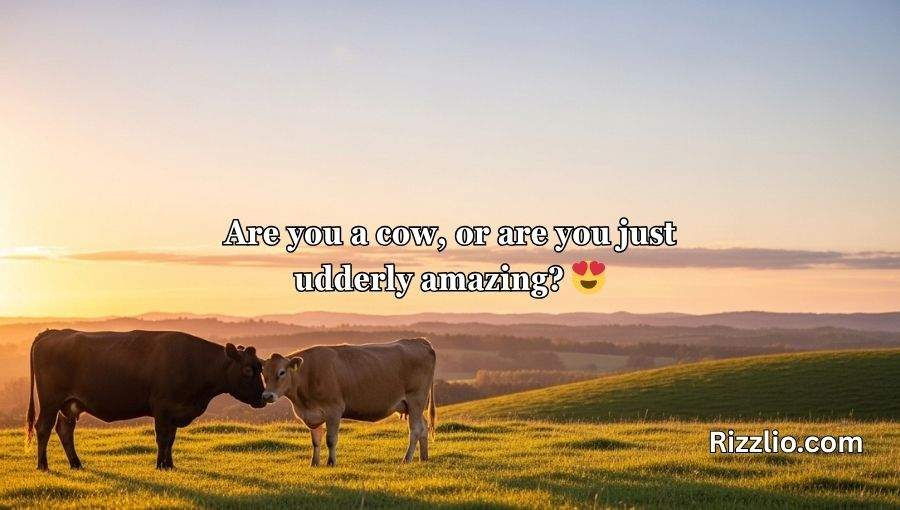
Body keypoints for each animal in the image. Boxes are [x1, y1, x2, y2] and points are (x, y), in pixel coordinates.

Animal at [26, 329, 266, 470]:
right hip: (50, 402)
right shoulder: (162, 407)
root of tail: (53, 333)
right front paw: (160, 465)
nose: (264, 399)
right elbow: (162, 438)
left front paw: (170, 465)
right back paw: (43, 465)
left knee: (64, 430)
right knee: (43, 428)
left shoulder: (175, 411)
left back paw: (76, 464)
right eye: (247, 370)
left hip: (70, 405)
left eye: (260, 367)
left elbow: (171, 439)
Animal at [261, 338, 436, 466]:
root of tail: (419, 341)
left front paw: (331, 463)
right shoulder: (312, 414)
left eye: (281, 372)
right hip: (412, 405)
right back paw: (424, 458)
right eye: (263, 373)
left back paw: (406, 459)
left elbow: (330, 440)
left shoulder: (334, 410)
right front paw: (314, 463)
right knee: (424, 426)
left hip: (416, 399)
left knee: (415, 429)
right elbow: (316, 441)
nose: (267, 396)